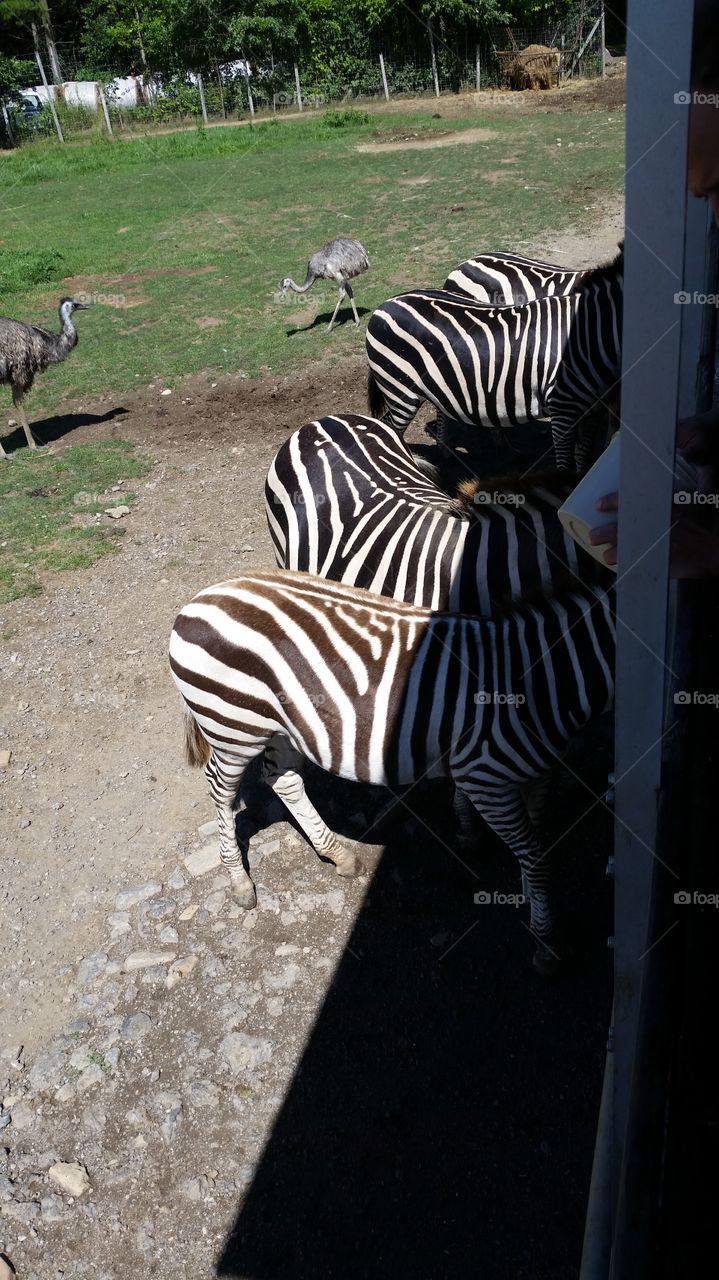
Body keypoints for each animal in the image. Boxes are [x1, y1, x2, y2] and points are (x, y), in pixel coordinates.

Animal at [170, 569, 616, 973]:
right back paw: (239, 881)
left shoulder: (538, 773)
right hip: (233, 728)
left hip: (281, 727)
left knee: (284, 780)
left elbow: (537, 843)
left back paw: (338, 854)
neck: (540, 682)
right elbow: (537, 858)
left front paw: (529, 898)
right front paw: (546, 942)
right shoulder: (485, 778)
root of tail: (201, 598)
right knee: (221, 791)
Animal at [366, 247, 623, 470]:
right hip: (401, 391)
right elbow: (567, 465)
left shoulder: (594, 408)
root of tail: (385, 304)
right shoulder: (564, 408)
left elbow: (585, 456)